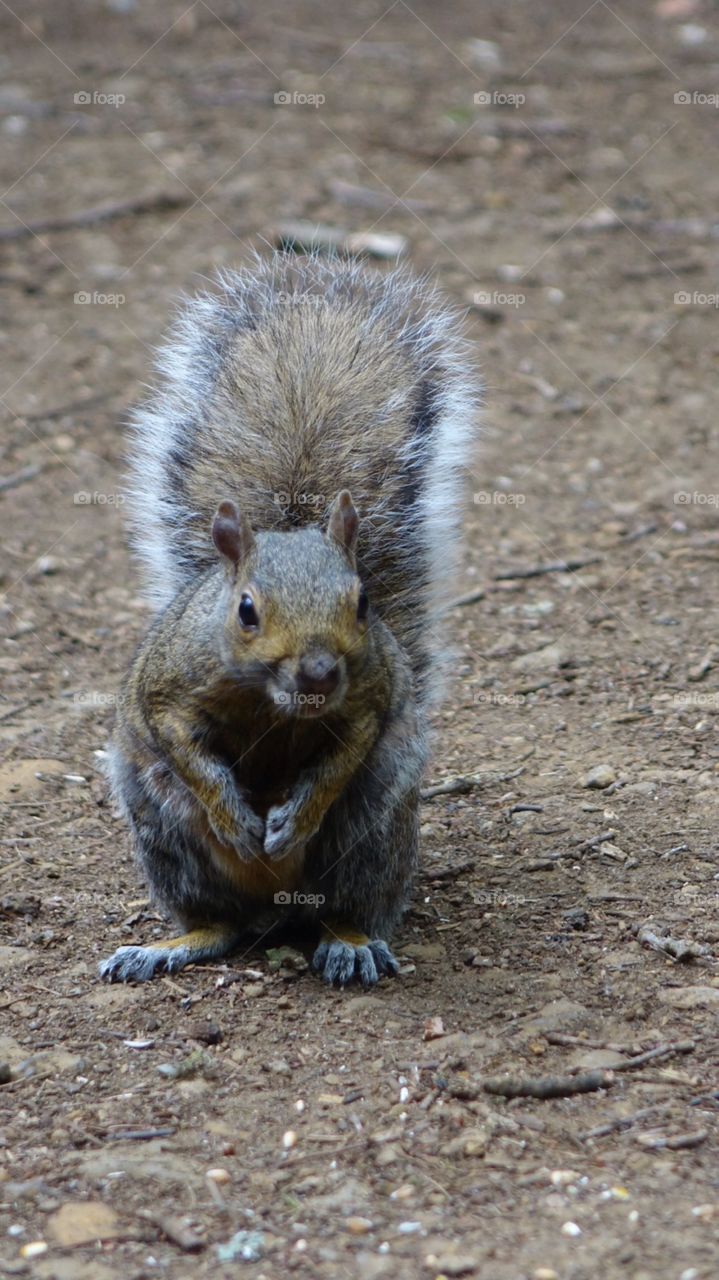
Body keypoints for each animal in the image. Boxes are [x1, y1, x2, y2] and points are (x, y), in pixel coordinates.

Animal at [99, 253, 480, 988]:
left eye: (362, 603)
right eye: (245, 609)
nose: (319, 672)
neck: (274, 703)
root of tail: (276, 906)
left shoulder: (368, 702)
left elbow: (342, 755)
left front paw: (292, 816)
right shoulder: (166, 692)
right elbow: (186, 748)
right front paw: (235, 815)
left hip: (372, 831)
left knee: (348, 906)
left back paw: (349, 942)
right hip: (162, 829)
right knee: (220, 924)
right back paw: (167, 946)